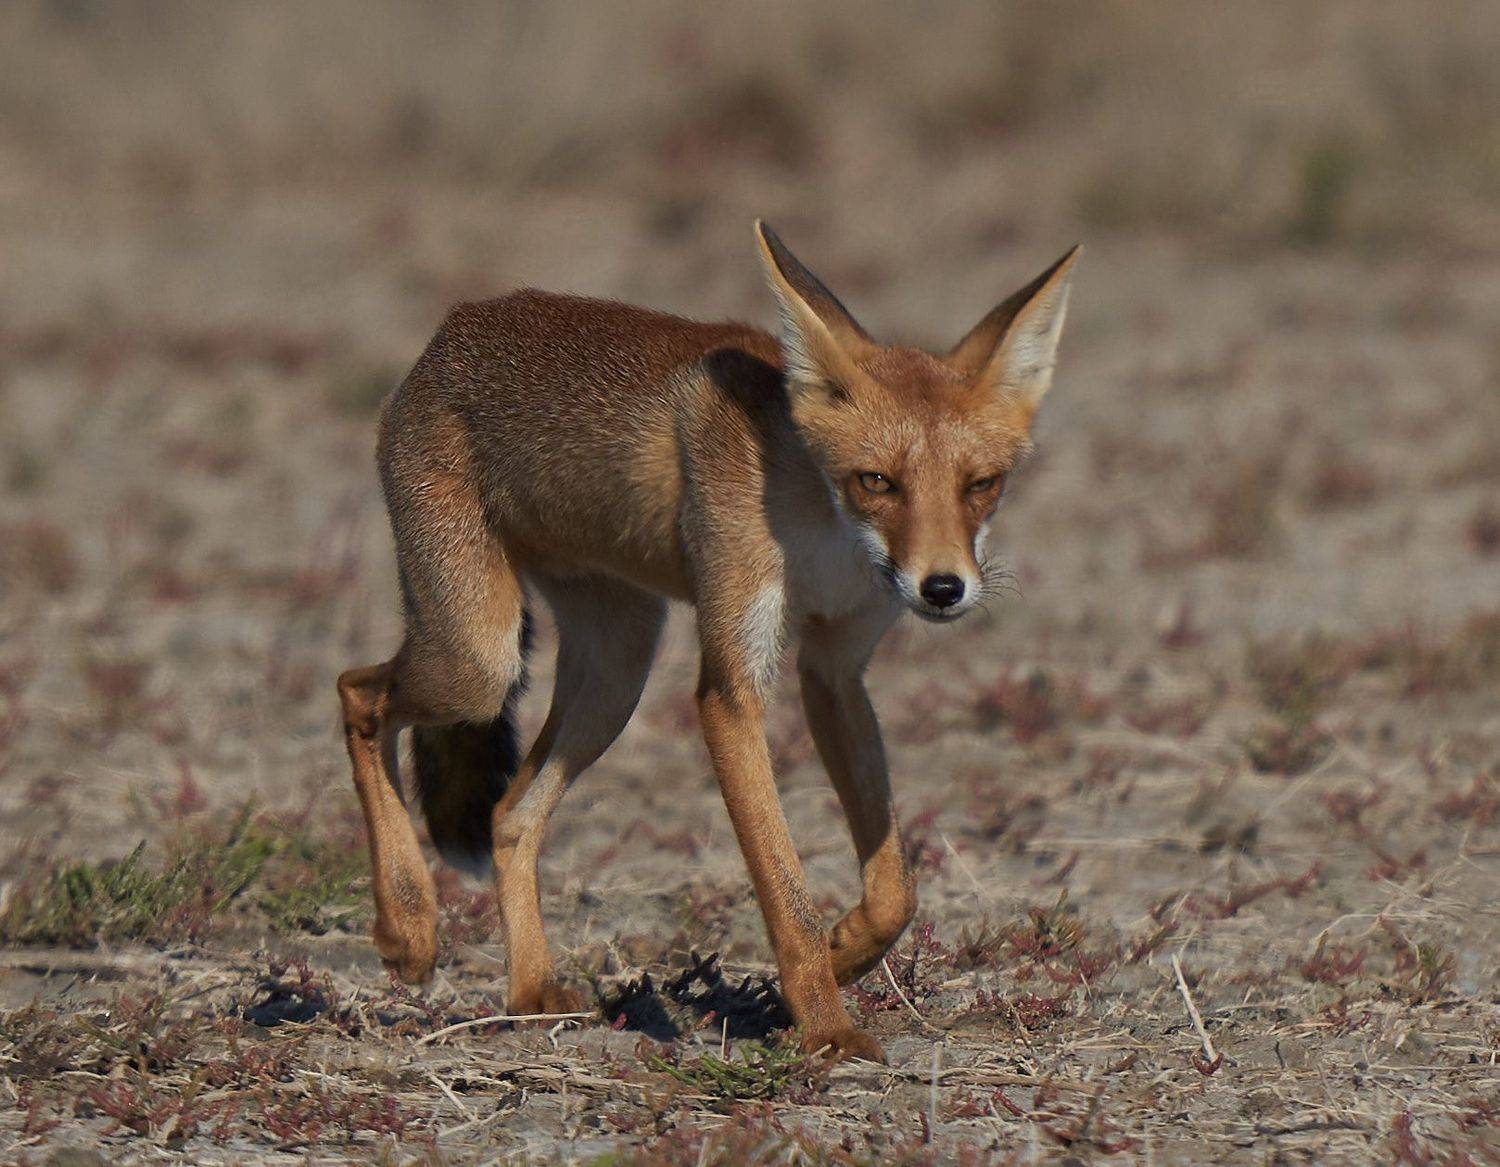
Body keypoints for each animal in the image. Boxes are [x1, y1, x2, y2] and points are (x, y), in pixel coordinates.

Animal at [336, 222, 1078, 1062]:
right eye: (876, 481)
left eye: (980, 485)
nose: (944, 588)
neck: (820, 530)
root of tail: (448, 333)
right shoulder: (731, 686)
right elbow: (786, 890)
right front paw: (825, 1029)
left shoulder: (834, 671)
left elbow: (894, 890)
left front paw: (845, 953)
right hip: (478, 660)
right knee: (359, 692)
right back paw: (407, 921)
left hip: (614, 675)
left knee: (508, 815)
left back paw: (528, 990)